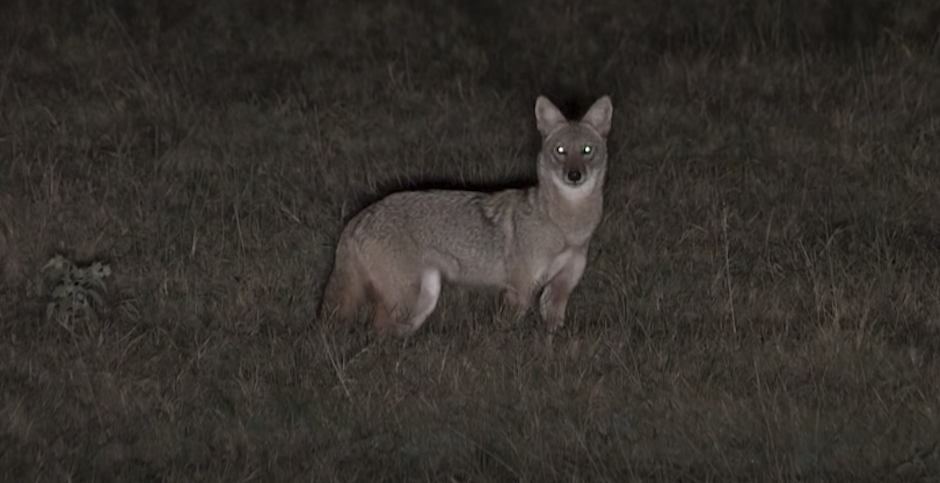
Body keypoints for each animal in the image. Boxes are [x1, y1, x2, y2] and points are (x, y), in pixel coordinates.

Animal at [318, 95, 613, 336]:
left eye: (587, 150)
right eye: (560, 151)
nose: (574, 175)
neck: (568, 228)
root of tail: (358, 217)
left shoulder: (559, 291)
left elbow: (552, 334)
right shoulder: (519, 291)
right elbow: (505, 332)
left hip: (424, 299)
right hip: (403, 299)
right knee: (376, 331)